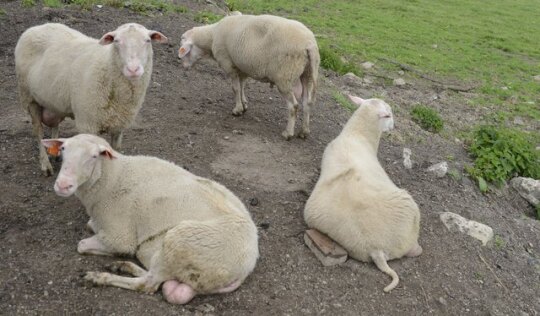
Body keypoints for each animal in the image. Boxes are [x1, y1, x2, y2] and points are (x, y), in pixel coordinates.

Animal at [15, 22, 167, 175]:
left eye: (148, 41)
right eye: (116, 41)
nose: (133, 69)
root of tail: (38, 27)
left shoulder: (119, 125)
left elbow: (115, 150)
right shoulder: (87, 123)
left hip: (53, 100)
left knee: (54, 125)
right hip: (29, 97)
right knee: (38, 132)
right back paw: (45, 165)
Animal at [40, 133, 260, 304]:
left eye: (94, 156)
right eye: (62, 150)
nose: (63, 185)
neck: (113, 177)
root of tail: (247, 267)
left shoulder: (119, 238)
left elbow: (82, 245)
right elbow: (89, 225)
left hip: (180, 241)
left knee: (148, 284)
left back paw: (101, 277)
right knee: (152, 274)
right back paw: (122, 265)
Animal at [177, 13, 320, 139]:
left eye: (184, 49)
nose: (183, 66)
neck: (211, 36)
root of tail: (309, 44)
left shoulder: (228, 63)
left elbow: (235, 88)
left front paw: (237, 110)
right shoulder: (241, 67)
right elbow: (242, 86)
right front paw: (244, 104)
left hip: (284, 76)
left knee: (293, 106)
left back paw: (288, 133)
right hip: (307, 74)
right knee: (307, 102)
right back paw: (304, 132)